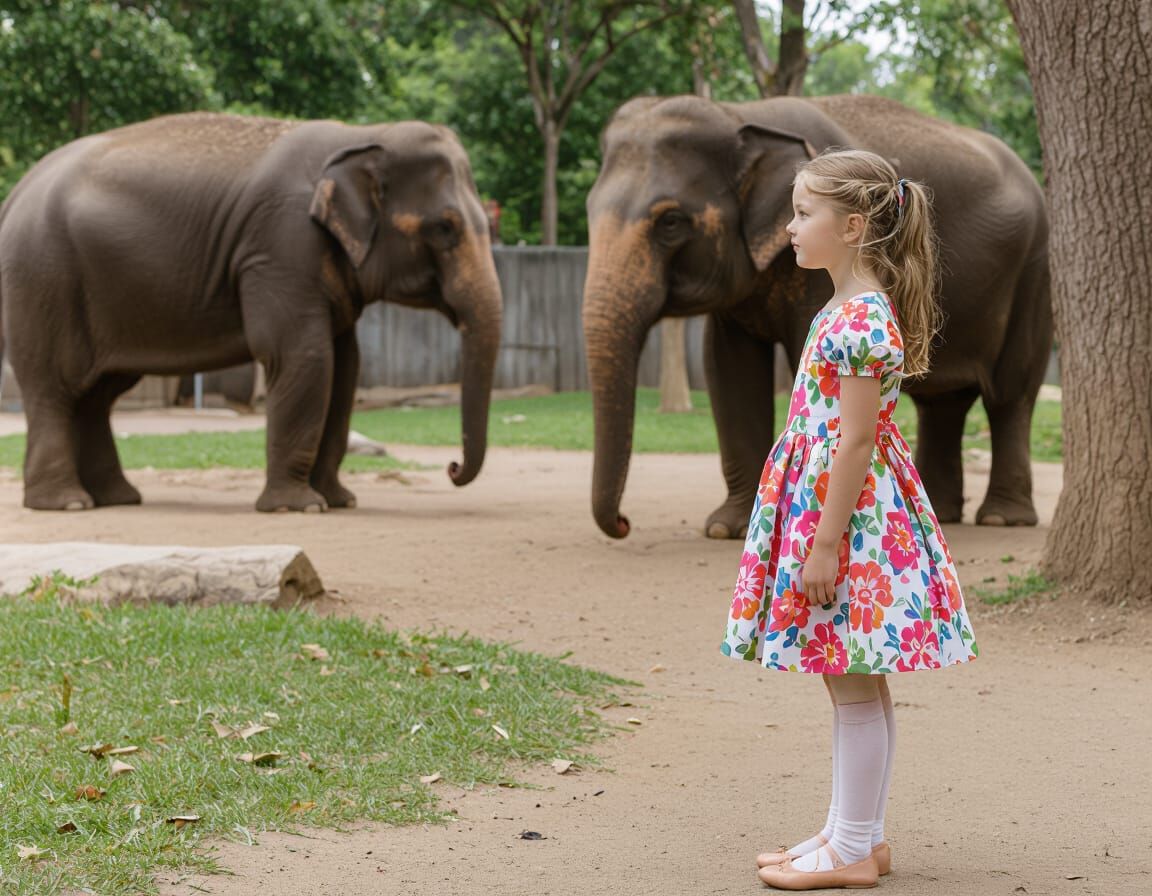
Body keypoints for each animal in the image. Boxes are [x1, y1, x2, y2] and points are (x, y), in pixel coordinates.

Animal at [0, 112, 502, 512]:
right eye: (444, 228)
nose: (452, 467)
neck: (364, 135)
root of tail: (17, 191)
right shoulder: (280, 245)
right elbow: (303, 356)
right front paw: (298, 508)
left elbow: (345, 368)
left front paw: (340, 501)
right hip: (41, 281)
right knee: (53, 387)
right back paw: (67, 504)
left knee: (98, 393)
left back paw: (118, 499)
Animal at [582, 94, 1051, 539]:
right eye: (587, 208)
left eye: (671, 222)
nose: (623, 523)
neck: (740, 112)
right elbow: (727, 369)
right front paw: (724, 528)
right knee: (944, 403)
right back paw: (945, 511)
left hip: (1034, 271)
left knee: (1010, 394)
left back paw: (1002, 519)